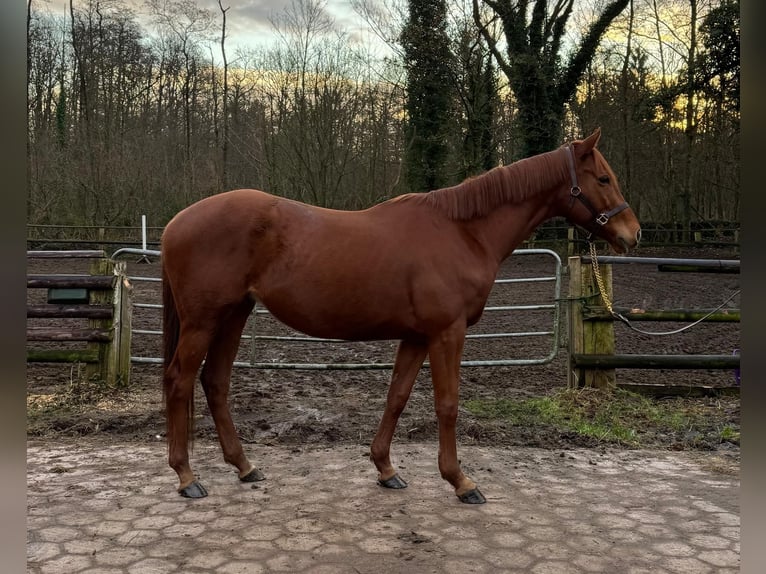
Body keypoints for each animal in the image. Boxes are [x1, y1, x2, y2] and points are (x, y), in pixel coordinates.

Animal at [160, 128, 641, 504]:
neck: (463, 232)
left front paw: (386, 469)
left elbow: (397, 397)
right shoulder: (447, 333)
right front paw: (461, 481)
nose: (632, 234)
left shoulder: (416, 336)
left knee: (215, 382)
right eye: (603, 178)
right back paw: (187, 477)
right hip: (204, 320)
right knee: (181, 381)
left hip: (234, 315)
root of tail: (176, 221)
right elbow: (447, 404)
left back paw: (244, 466)